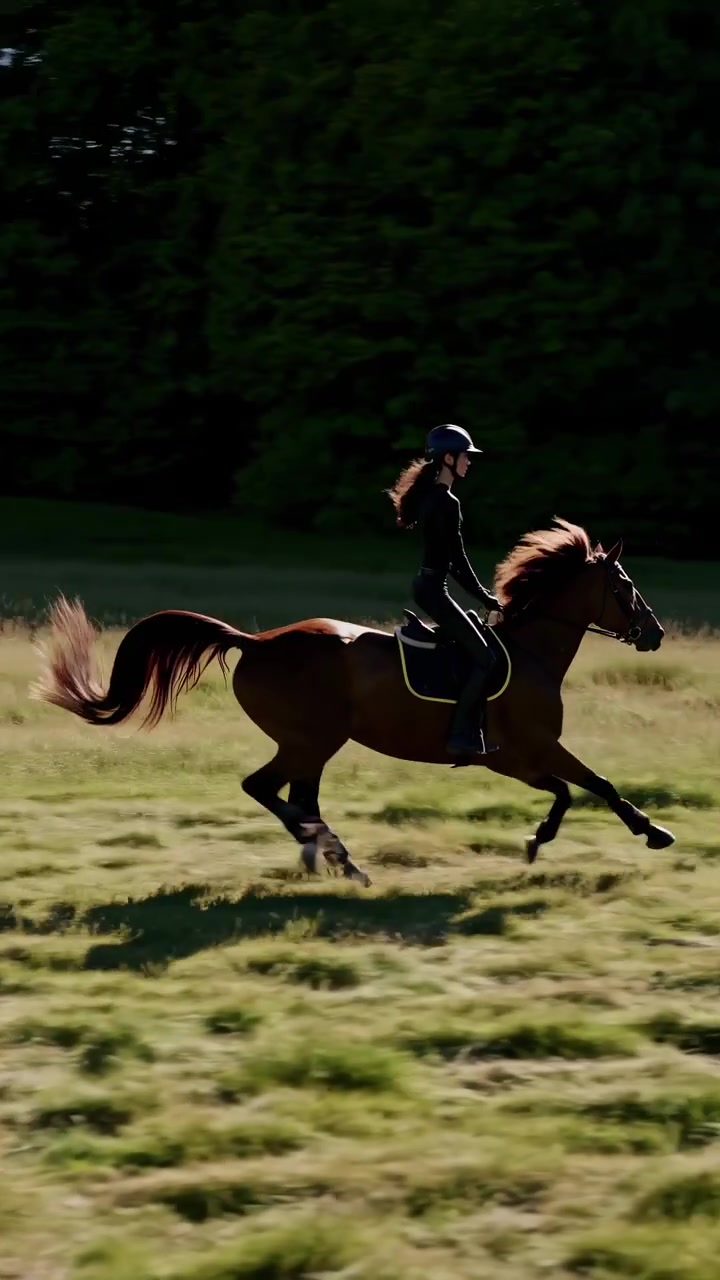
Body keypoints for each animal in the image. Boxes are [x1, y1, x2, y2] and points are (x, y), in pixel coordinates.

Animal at [31, 517, 675, 884]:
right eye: (625, 587)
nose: (655, 633)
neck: (531, 651)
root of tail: (255, 641)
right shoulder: (528, 751)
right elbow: (593, 785)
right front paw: (650, 832)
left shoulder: (521, 758)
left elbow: (571, 791)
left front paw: (542, 841)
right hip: (312, 739)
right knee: (267, 790)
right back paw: (337, 855)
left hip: (312, 745)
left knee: (298, 798)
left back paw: (325, 855)